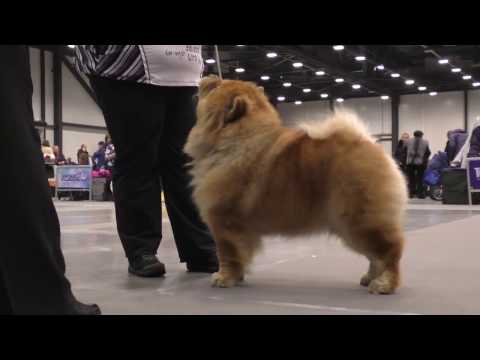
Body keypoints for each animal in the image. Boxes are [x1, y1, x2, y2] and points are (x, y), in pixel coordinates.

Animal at [186, 74, 406, 294]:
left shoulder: (224, 221)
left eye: (217, 86)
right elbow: (239, 255)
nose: (209, 77)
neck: (236, 141)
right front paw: (236, 277)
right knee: (375, 256)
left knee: (390, 251)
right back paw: (369, 278)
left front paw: (223, 278)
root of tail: (369, 144)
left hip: (360, 220)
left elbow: (227, 254)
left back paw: (384, 284)